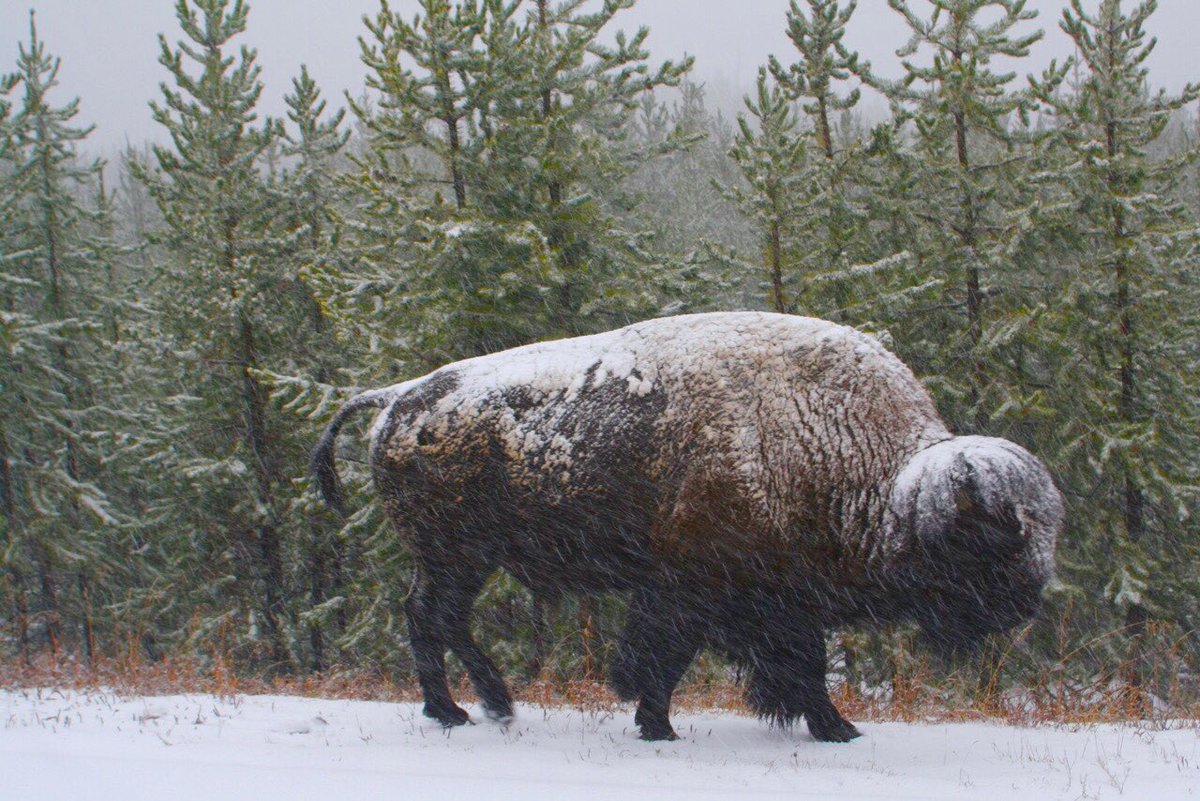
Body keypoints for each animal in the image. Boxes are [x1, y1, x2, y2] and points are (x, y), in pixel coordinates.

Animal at [313, 312, 1062, 741]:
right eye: (992, 537)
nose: (1026, 604)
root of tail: (397, 397)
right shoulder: (695, 588)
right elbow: (670, 657)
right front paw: (661, 726)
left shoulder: (775, 599)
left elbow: (791, 664)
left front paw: (826, 725)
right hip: (455, 555)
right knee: (430, 618)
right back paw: (459, 712)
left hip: (466, 559)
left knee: (443, 620)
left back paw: (493, 707)